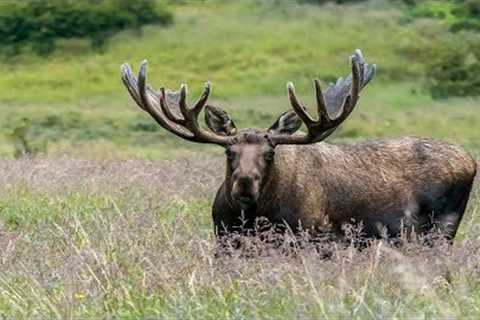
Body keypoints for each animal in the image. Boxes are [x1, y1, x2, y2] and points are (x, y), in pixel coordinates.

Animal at [121, 49, 476, 240]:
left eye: (269, 153)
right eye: (229, 151)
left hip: (441, 227)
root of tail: (471, 161)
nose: (245, 183)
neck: (253, 218)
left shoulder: (312, 237)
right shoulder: (224, 239)